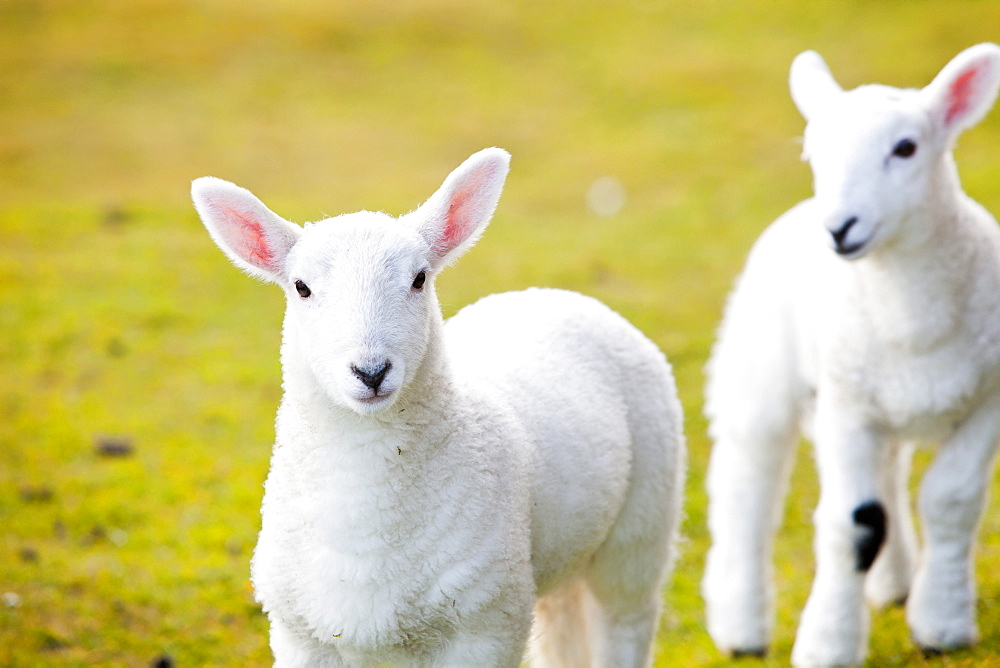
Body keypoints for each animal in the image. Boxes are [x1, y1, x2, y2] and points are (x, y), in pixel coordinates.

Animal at [188, 149, 688, 664]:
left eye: (419, 278)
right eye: (301, 287)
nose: (371, 371)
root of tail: (555, 294)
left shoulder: (486, 624)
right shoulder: (300, 634)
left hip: (642, 524)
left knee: (625, 617)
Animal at [700, 44, 1000, 664]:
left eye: (906, 148)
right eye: (813, 153)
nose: (839, 228)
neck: (913, 324)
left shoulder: (988, 400)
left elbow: (951, 501)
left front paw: (941, 625)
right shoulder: (844, 409)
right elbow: (853, 526)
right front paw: (828, 644)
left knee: (887, 476)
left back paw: (895, 586)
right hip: (762, 374)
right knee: (746, 487)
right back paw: (741, 627)